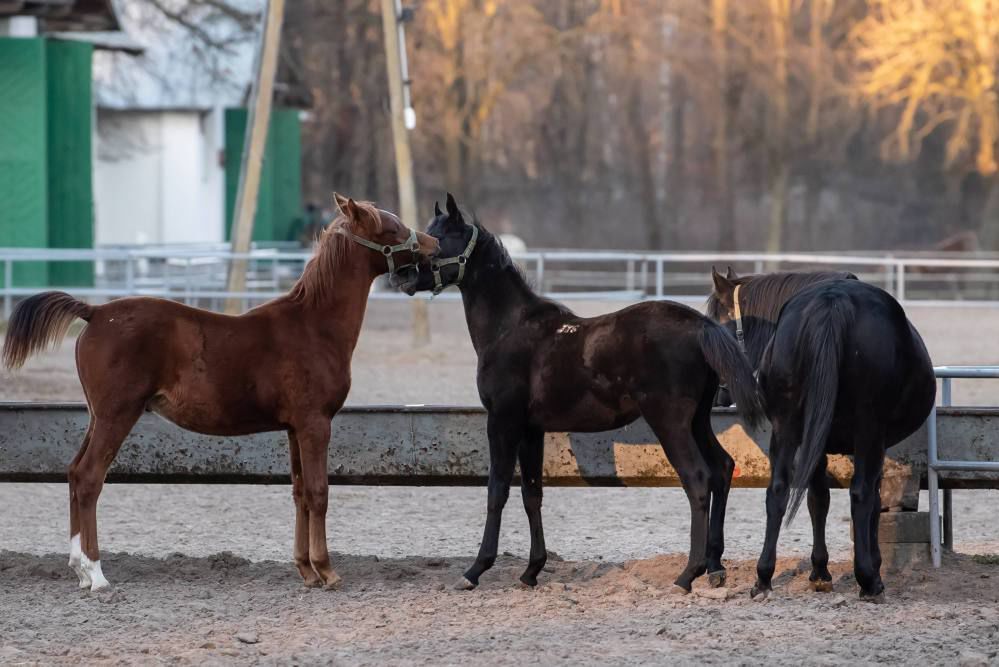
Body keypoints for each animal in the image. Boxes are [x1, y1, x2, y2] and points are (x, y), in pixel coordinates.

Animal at [0, 196, 438, 592]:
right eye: (392, 227)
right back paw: (96, 575)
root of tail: (93, 312)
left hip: (98, 416)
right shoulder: (315, 424)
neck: (314, 325)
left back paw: (79, 569)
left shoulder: (294, 428)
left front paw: (306, 571)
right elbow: (319, 492)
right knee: (90, 477)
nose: (433, 243)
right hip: (117, 415)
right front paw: (327, 571)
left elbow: (299, 492)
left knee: (75, 473)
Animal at [406, 194, 764, 596]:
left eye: (437, 240)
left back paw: (688, 574)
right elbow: (532, 493)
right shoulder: (531, 429)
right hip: (697, 420)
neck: (510, 329)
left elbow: (497, 491)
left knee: (698, 479)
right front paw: (531, 570)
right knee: (722, 468)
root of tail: (700, 325)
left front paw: (475, 570)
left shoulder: (503, 421)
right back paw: (715, 567)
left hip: (670, 423)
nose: (401, 277)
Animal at [708, 268, 932, 604]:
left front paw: (819, 571)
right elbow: (870, 499)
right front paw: (870, 567)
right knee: (861, 493)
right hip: (867, 431)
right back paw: (868, 580)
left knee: (777, 491)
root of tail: (832, 303)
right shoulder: (874, 443)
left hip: (786, 430)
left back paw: (763, 578)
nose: (716, 393)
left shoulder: (813, 441)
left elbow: (817, 498)